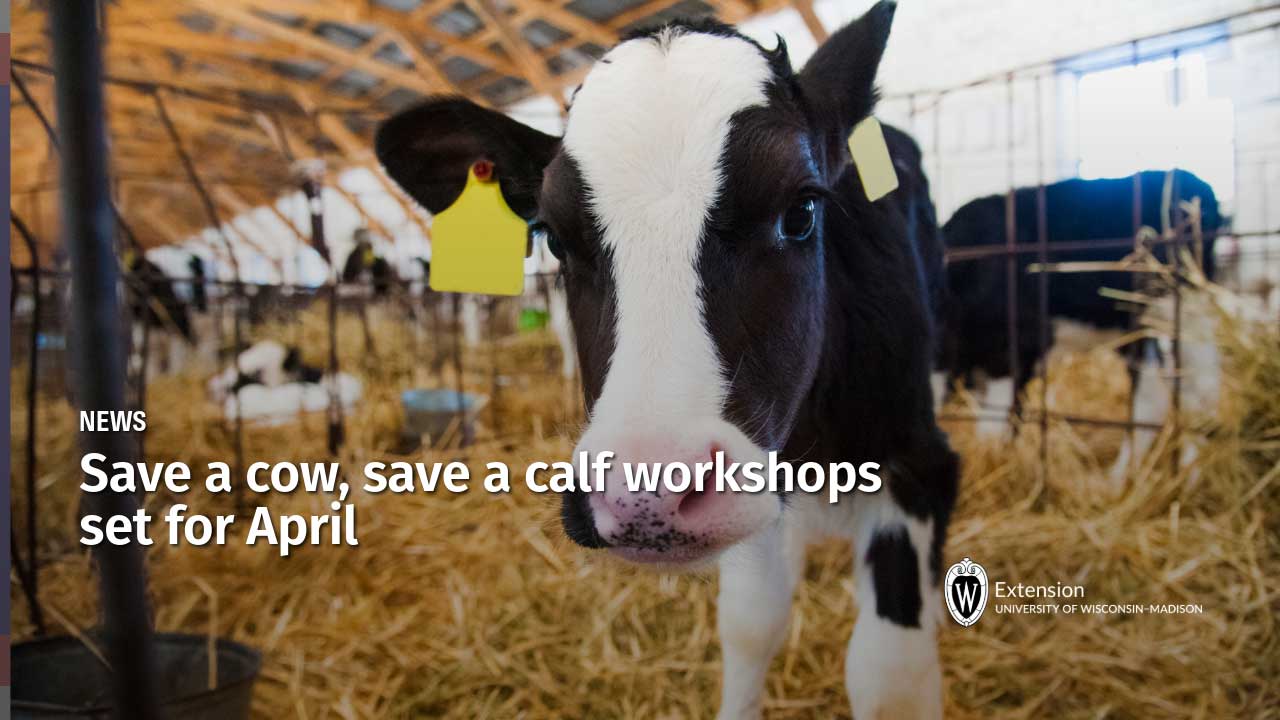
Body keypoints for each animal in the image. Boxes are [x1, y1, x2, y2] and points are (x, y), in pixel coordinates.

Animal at [376, 3, 958, 717]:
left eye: (800, 210)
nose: (644, 496)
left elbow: (889, 676)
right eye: (555, 239)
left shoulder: (920, 466)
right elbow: (751, 622)